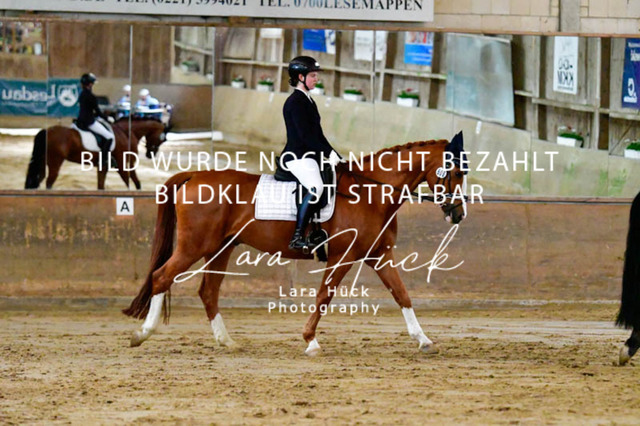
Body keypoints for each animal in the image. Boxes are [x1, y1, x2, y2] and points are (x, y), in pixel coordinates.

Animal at [123, 132, 468, 356]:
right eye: (453, 171)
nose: (459, 213)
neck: (369, 192)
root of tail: (195, 175)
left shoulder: (379, 256)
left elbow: (401, 294)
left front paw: (423, 340)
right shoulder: (342, 256)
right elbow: (324, 295)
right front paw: (310, 340)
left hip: (220, 248)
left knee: (208, 292)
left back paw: (227, 341)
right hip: (193, 246)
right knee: (162, 277)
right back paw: (142, 334)